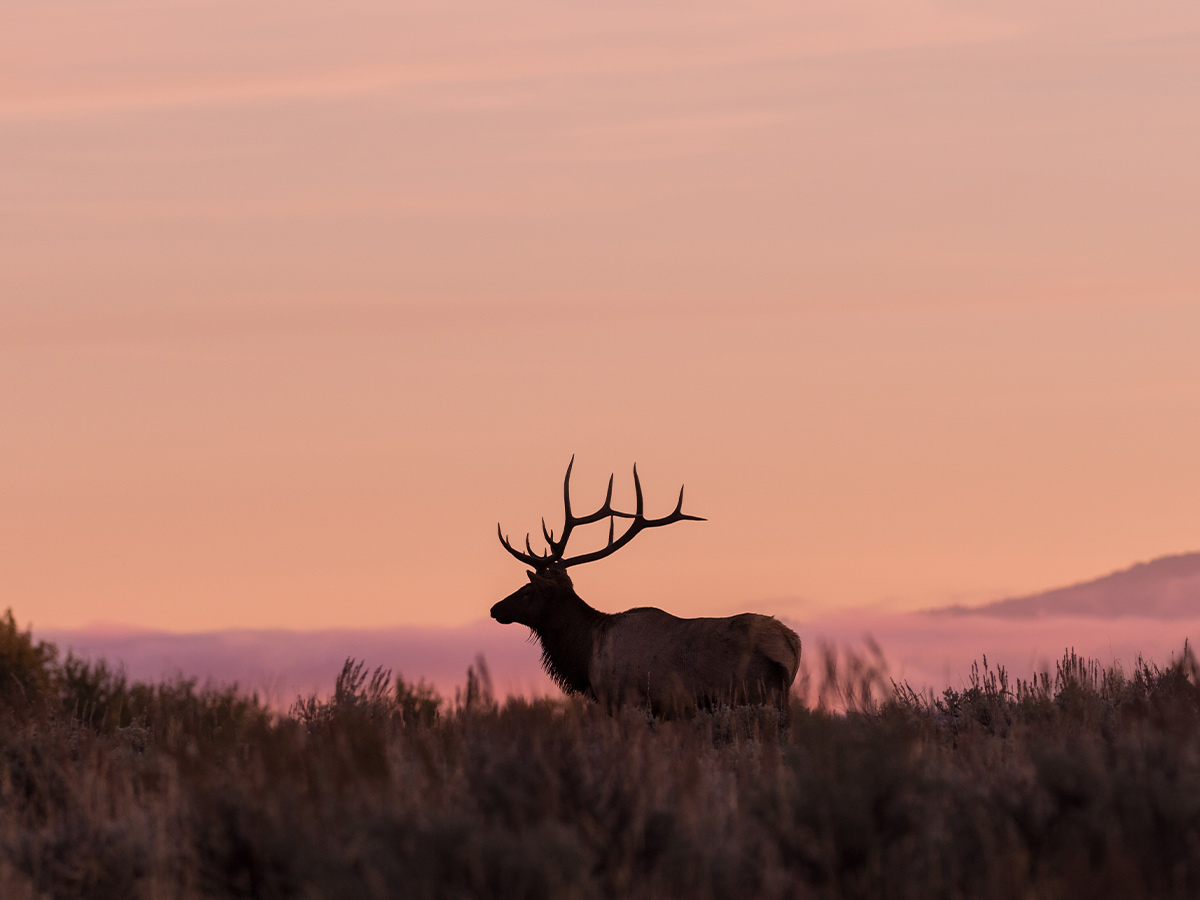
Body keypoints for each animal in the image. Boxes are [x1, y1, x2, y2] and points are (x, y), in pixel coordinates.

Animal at [491, 458, 802, 719]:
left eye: (527, 590)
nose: (495, 608)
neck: (586, 652)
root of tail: (792, 644)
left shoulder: (625, 700)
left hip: (755, 694)